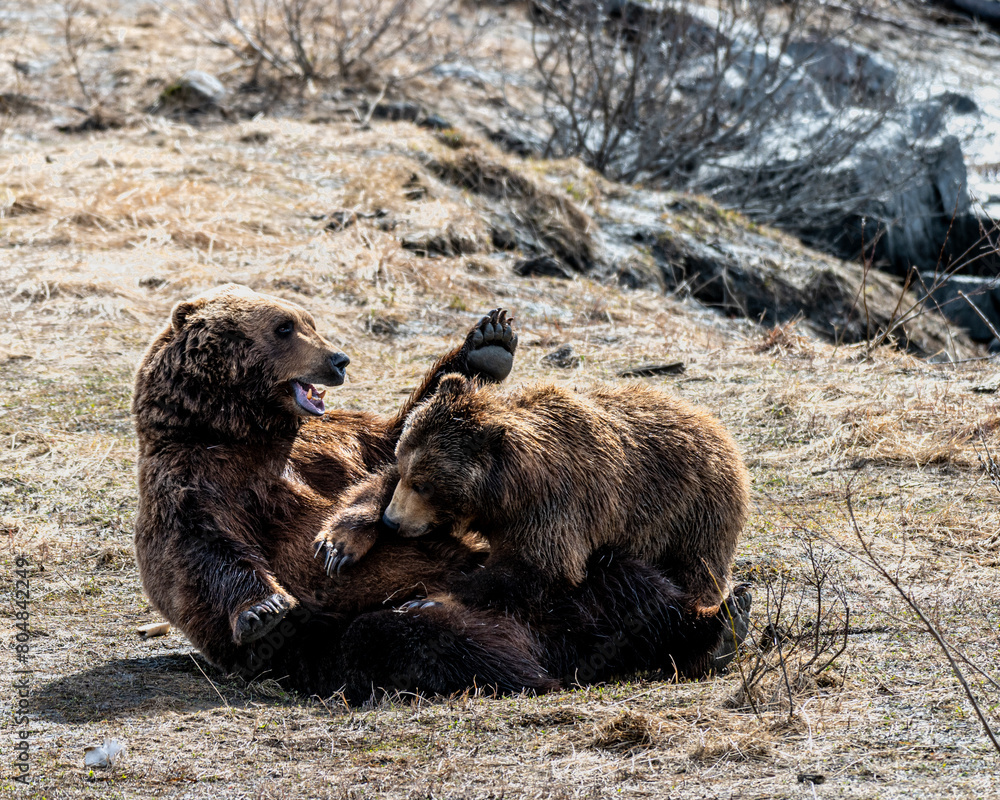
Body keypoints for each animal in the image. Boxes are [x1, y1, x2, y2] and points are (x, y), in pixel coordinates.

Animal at [360, 374, 750, 618]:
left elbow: (541, 567)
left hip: (692, 509)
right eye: (403, 466)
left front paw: (428, 600)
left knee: (698, 564)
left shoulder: (554, 506)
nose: (392, 522)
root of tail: (714, 424)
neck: (506, 493)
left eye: (424, 484)